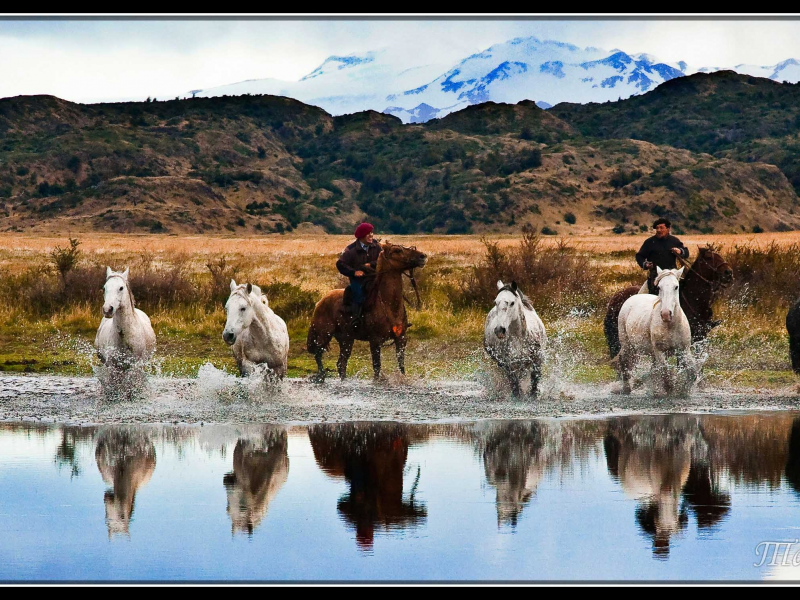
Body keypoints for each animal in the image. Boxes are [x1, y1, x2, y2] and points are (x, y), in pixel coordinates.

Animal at [306, 240, 428, 378]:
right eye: (397, 250)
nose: (422, 256)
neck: (389, 305)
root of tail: (320, 302)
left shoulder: (401, 339)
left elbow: (401, 365)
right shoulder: (375, 341)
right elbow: (377, 367)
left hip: (346, 339)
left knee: (341, 363)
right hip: (324, 335)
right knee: (318, 353)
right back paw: (321, 375)